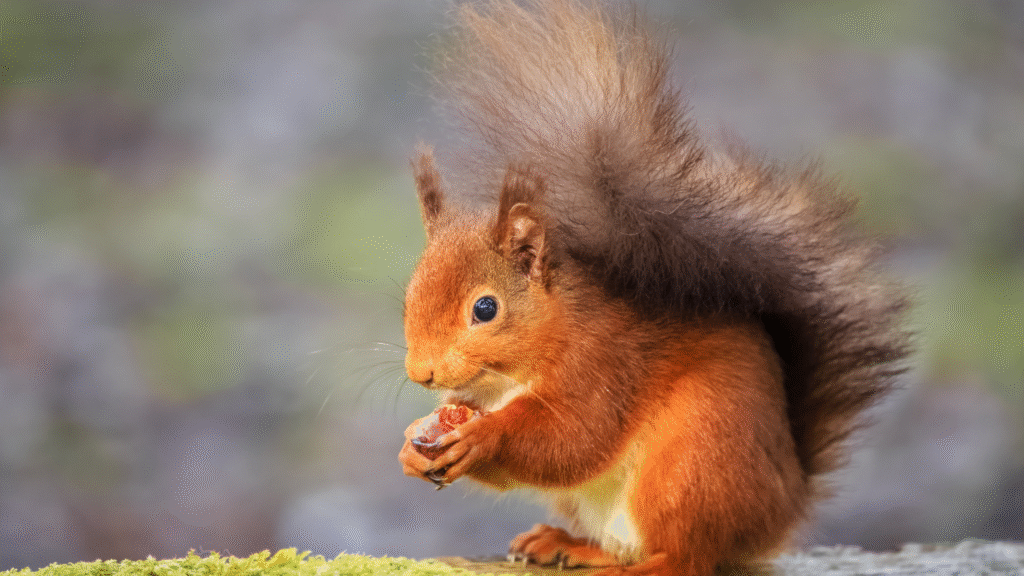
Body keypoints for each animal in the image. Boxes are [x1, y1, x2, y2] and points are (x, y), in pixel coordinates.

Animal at [396, 1, 910, 575]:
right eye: (409, 296)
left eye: (486, 308)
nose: (421, 373)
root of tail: (783, 506)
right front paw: (412, 447)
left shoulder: (605, 364)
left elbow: (574, 440)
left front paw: (484, 434)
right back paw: (566, 544)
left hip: (691, 464)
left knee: (686, 557)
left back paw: (634, 564)